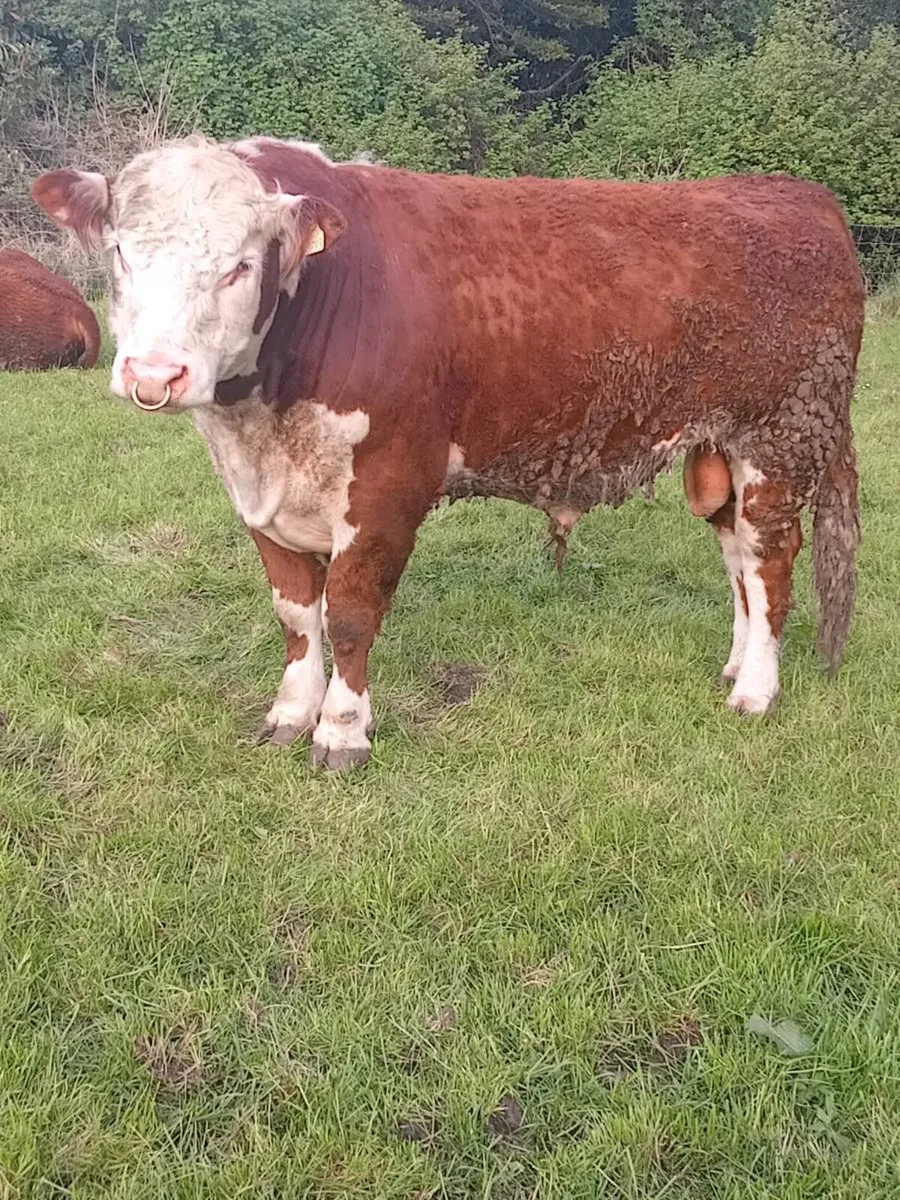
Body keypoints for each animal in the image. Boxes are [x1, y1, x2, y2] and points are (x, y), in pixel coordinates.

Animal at [32, 136, 864, 770]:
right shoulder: (258, 497)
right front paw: (289, 715)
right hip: (719, 451)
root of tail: (796, 194)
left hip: (780, 436)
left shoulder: (389, 485)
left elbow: (350, 615)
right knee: (739, 562)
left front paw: (342, 734)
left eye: (240, 265)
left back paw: (756, 691)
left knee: (771, 563)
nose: (155, 374)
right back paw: (737, 663)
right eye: (122, 255)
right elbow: (296, 614)